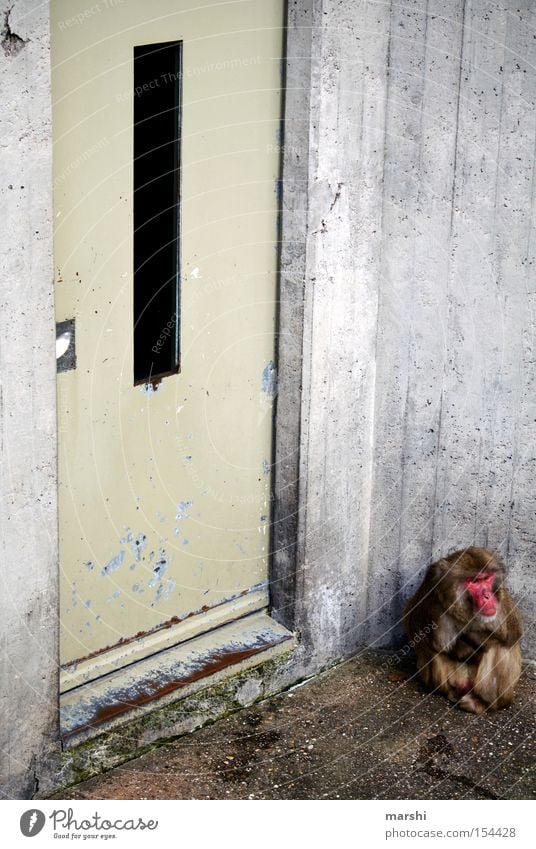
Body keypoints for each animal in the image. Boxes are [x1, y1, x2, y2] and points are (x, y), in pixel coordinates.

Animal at [402, 548, 524, 712]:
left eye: (487, 579)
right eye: (474, 581)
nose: (487, 596)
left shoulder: (501, 595)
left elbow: (513, 632)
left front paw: (471, 639)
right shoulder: (432, 581)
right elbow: (414, 623)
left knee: (500, 645)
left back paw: (482, 702)